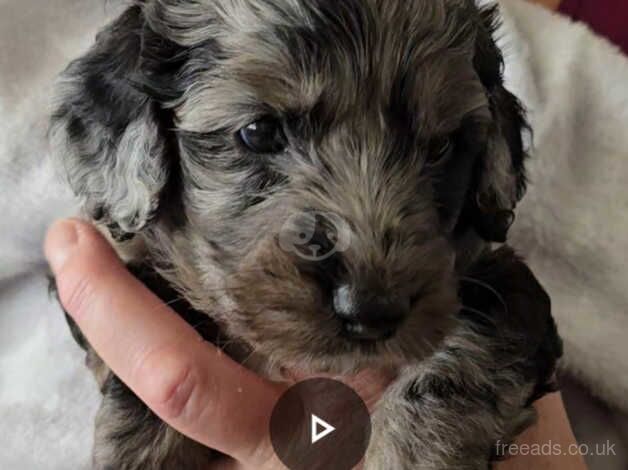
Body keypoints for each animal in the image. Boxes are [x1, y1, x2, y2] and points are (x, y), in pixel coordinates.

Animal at [47, 1, 560, 468]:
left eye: (441, 147)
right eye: (258, 131)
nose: (371, 311)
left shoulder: (503, 283)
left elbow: (457, 365)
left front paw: (408, 454)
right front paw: (141, 451)